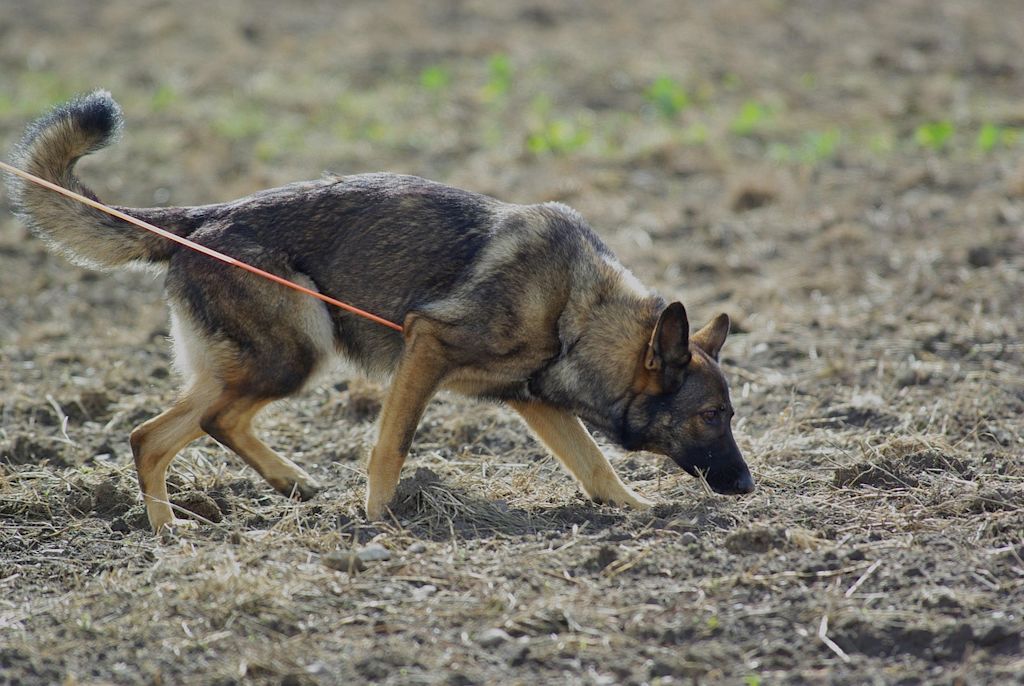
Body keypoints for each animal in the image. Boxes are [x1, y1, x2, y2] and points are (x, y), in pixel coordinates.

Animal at [4, 90, 757, 532]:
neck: (578, 314)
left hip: (259, 365)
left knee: (167, 432)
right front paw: (376, 518)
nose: (749, 486)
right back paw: (185, 525)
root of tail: (199, 219)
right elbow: (391, 445)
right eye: (711, 416)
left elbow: (594, 464)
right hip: (295, 353)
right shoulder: (426, 348)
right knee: (181, 429)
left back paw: (220, 511)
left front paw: (634, 508)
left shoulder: (533, 400)